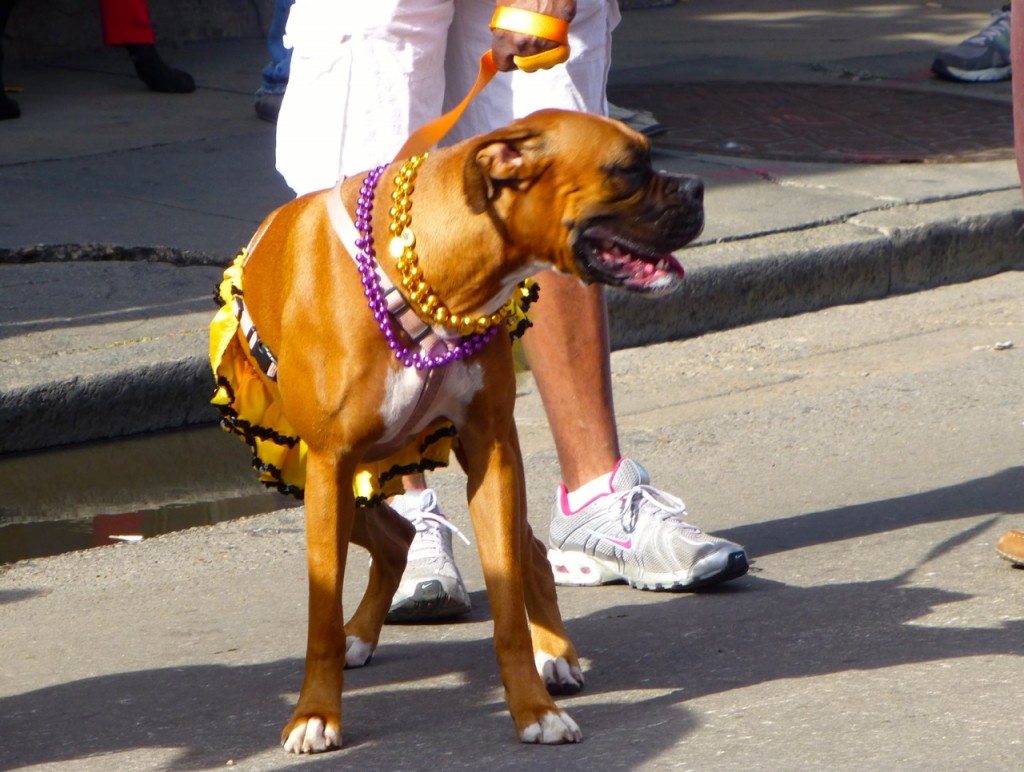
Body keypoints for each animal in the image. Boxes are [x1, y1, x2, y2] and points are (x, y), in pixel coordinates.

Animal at [221, 108, 704, 753]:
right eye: (628, 169)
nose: (697, 188)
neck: (428, 269)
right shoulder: (329, 462)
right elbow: (319, 617)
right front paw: (315, 714)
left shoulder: (490, 453)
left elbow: (507, 604)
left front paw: (534, 708)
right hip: (309, 475)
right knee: (398, 539)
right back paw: (358, 636)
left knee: (520, 552)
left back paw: (555, 653)